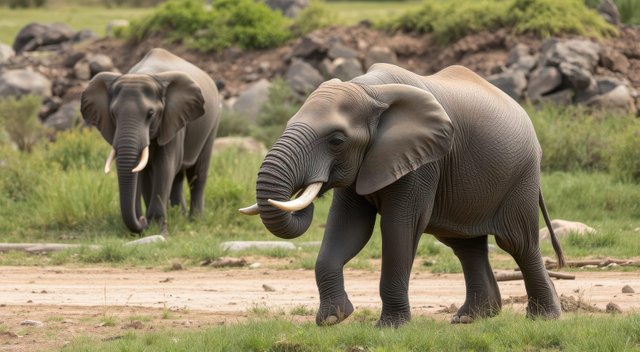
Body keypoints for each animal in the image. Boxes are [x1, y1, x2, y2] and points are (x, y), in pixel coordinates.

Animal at [81, 46, 221, 234]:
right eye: (113, 115)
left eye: (150, 114)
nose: (141, 219)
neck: (144, 74)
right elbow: (144, 170)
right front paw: (149, 227)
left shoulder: (173, 119)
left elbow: (164, 166)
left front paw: (158, 229)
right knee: (177, 177)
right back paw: (179, 216)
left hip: (213, 123)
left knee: (197, 173)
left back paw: (195, 220)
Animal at [240, 62, 564, 328]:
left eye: (337, 140)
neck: (370, 90)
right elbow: (348, 227)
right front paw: (333, 319)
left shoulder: (424, 163)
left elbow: (399, 227)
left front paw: (390, 327)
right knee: (465, 245)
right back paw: (470, 317)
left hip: (521, 177)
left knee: (518, 243)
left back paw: (544, 317)